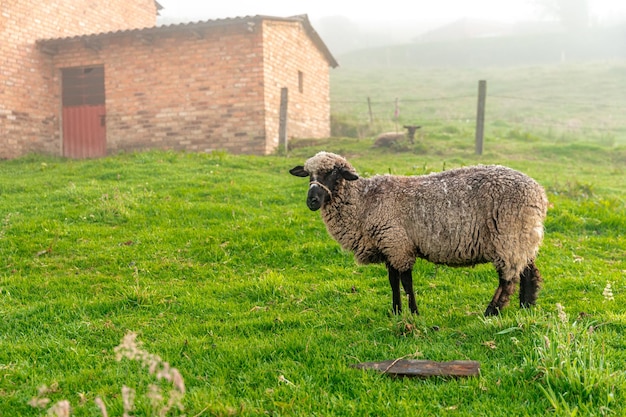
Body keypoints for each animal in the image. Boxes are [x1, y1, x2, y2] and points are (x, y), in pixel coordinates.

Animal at [288, 151, 544, 314]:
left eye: (333, 173)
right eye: (309, 175)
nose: (312, 201)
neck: (363, 201)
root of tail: (539, 193)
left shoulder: (399, 245)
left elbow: (406, 282)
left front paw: (413, 312)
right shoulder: (389, 247)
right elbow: (393, 282)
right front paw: (396, 311)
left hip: (507, 237)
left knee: (507, 278)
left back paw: (492, 311)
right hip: (522, 237)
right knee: (528, 272)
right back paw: (526, 306)